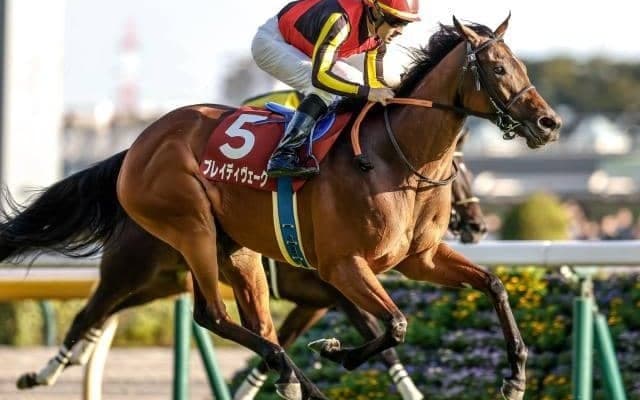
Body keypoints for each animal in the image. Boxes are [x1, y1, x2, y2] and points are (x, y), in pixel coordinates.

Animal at [11, 133, 483, 400]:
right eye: (459, 169)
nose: (478, 225)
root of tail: (135, 167)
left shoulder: (315, 302)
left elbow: (275, 346)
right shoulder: (335, 285)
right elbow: (375, 335)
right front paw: (412, 391)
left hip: (163, 282)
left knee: (106, 313)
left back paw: (73, 358)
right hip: (132, 268)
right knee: (89, 310)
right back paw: (44, 372)